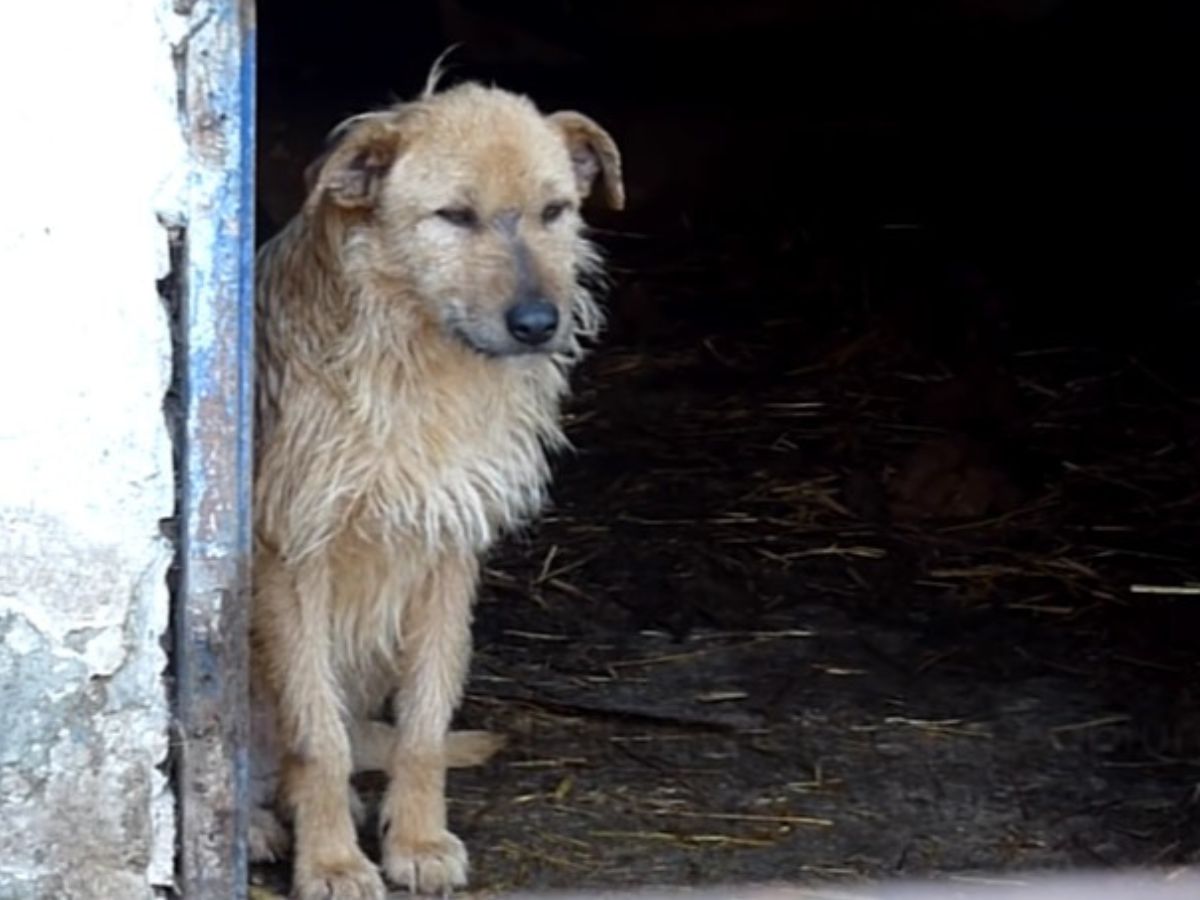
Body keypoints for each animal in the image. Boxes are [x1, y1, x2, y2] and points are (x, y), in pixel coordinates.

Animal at [248, 65, 624, 900]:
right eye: (454, 216)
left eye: (555, 210)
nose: (537, 323)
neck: (419, 359)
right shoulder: (293, 557)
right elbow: (316, 735)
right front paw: (331, 861)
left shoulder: (449, 550)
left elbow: (425, 721)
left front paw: (415, 841)